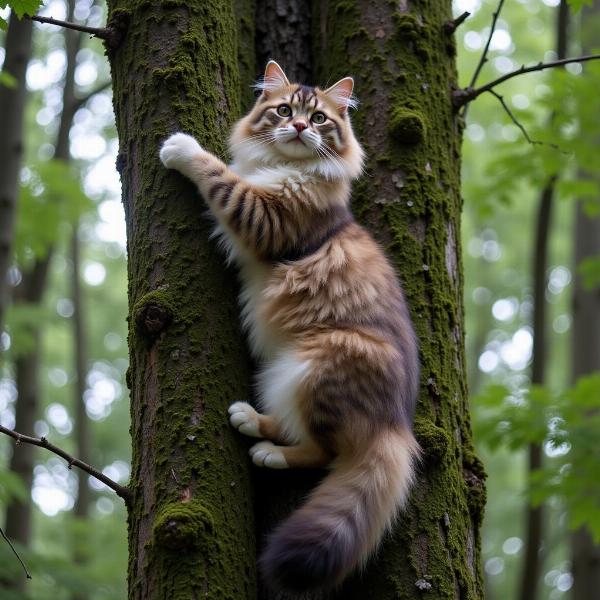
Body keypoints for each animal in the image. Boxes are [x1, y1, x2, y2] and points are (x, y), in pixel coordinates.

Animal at [161, 59, 422, 592]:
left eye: (320, 118)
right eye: (284, 111)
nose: (300, 127)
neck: (287, 168)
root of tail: (397, 428)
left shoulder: (263, 214)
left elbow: (219, 175)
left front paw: (180, 147)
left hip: (317, 364)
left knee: (321, 452)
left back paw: (267, 452)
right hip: (283, 371)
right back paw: (248, 419)